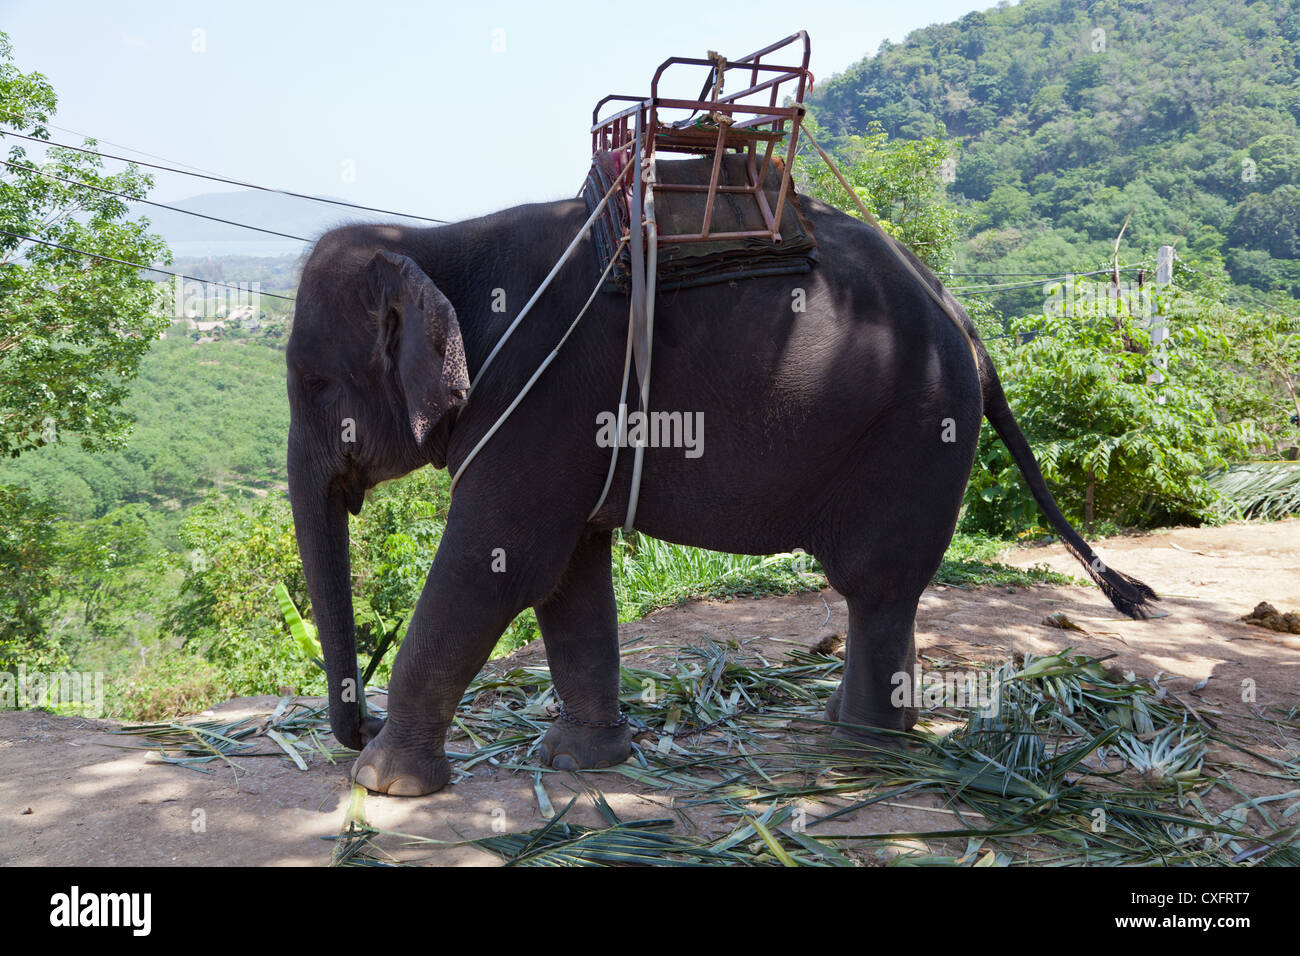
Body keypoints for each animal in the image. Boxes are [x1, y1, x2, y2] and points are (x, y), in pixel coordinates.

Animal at [287, 192, 1159, 790]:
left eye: (314, 384)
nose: (358, 723)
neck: (435, 244)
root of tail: (969, 327)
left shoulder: (542, 395)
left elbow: (498, 565)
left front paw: (383, 786)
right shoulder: (570, 422)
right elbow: (569, 576)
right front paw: (582, 762)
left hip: (914, 430)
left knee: (876, 583)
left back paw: (859, 754)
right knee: (887, 591)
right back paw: (860, 730)